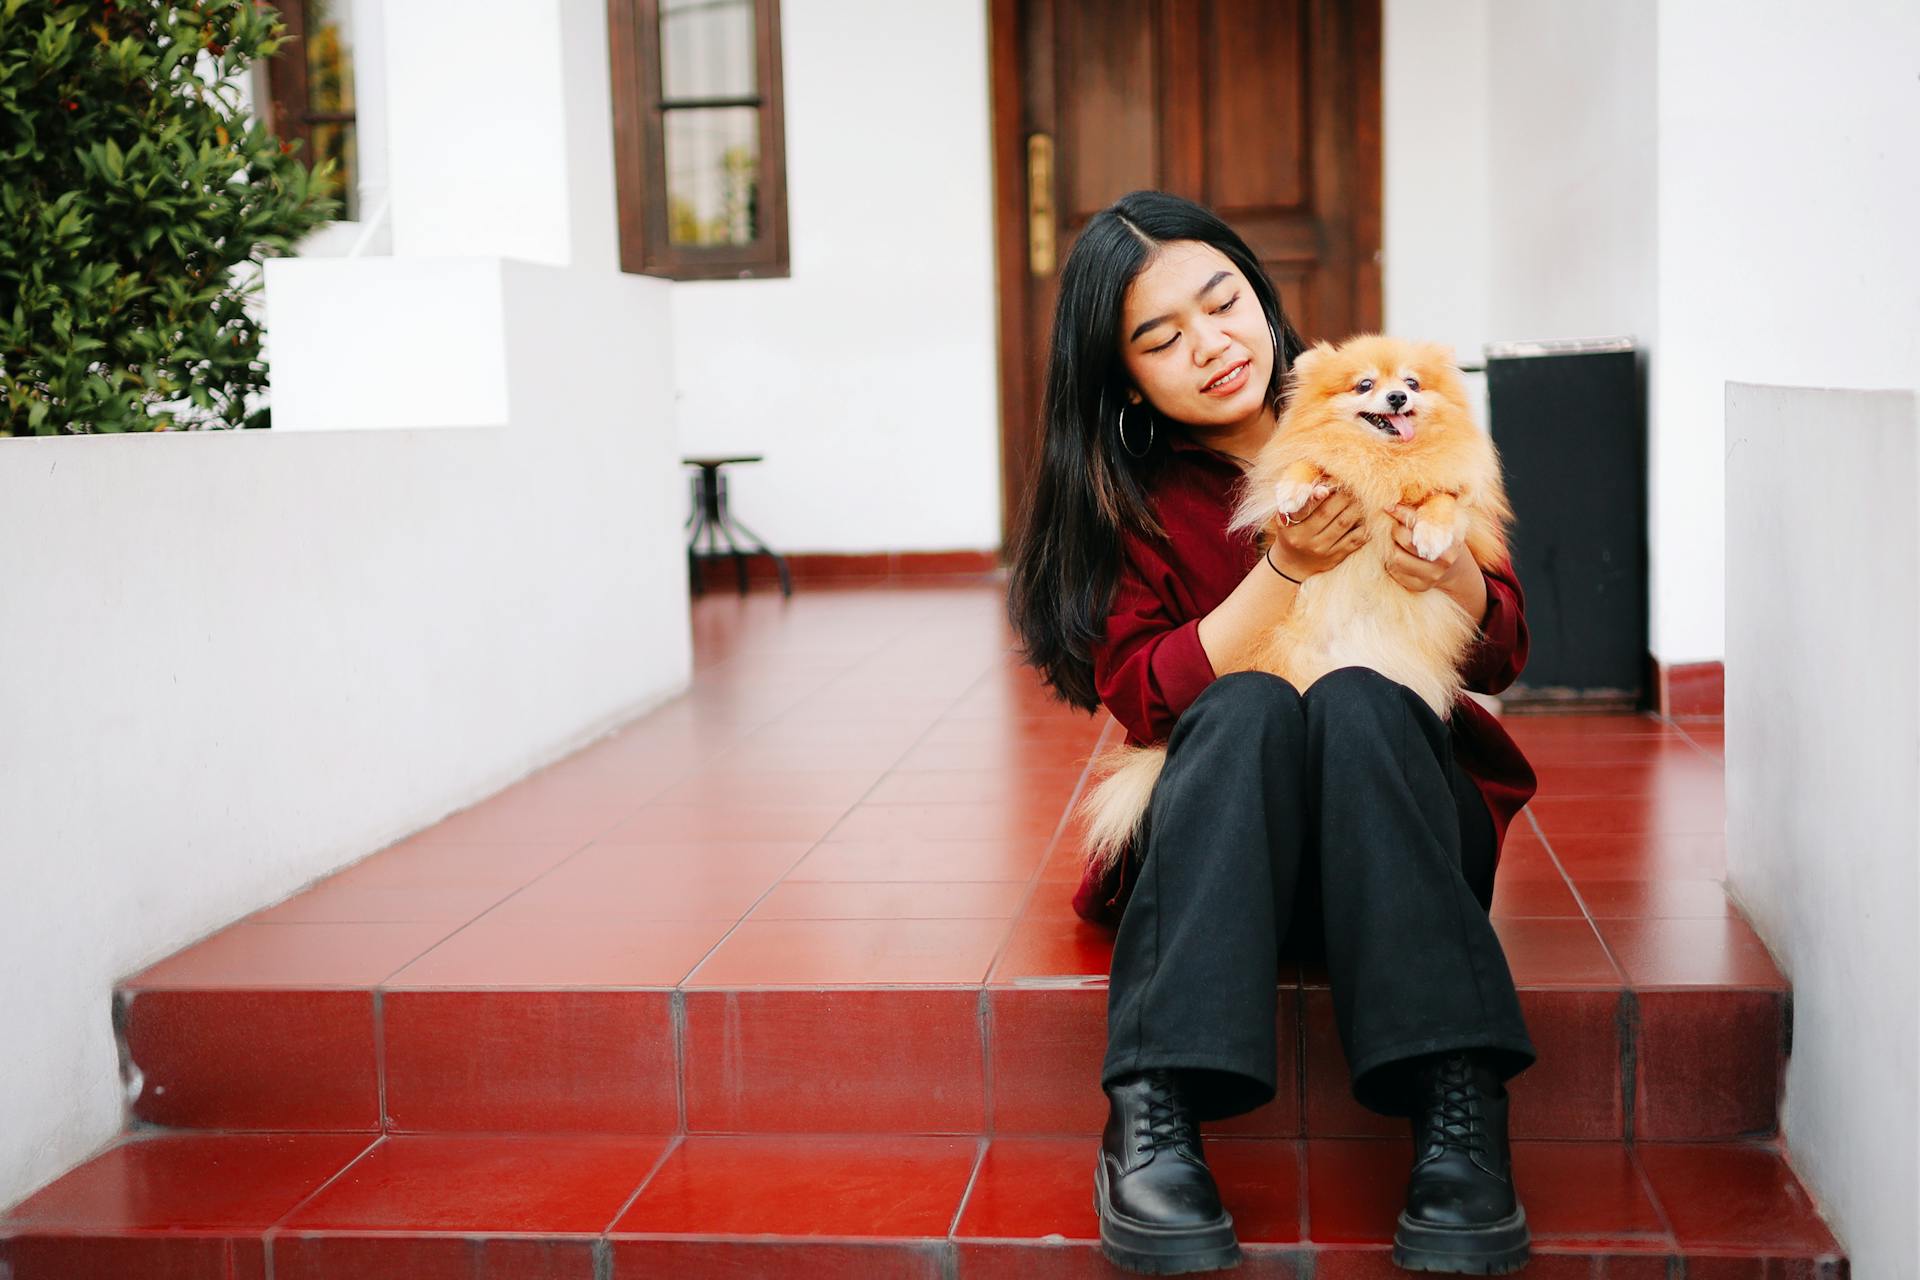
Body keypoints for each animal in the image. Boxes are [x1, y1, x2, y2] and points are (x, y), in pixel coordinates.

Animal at [1082, 333, 1512, 882]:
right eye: (1365, 385)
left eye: (1413, 384)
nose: (1397, 398)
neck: (1383, 462)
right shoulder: (1308, 466)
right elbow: (1306, 463)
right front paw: (1294, 489)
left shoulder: (1462, 502)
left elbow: (1443, 502)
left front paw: (1432, 534)